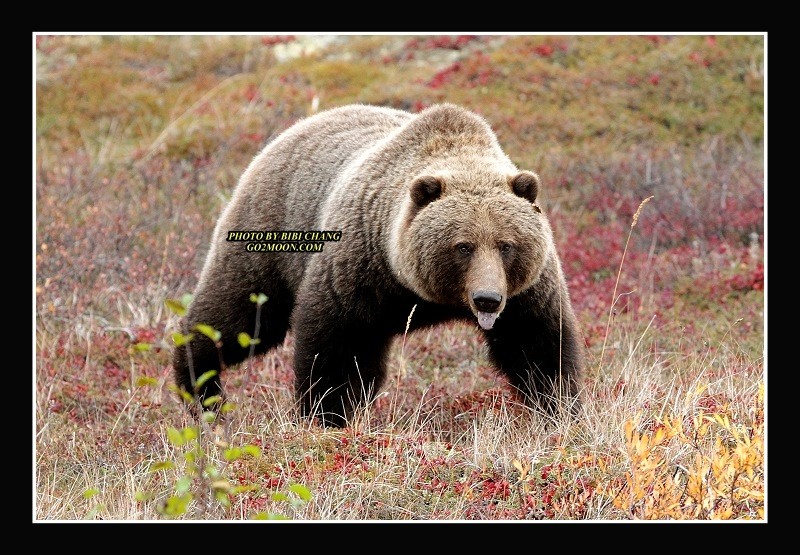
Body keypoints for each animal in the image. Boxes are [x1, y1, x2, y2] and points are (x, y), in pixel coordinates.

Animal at [173, 103, 583, 427]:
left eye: (506, 245)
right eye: (463, 246)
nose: (487, 299)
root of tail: (287, 133)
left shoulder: (527, 290)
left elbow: (539, 348)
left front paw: (562, 411)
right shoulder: (358, 269)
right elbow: (335, 348)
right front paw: (325, 416)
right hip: (271, 234)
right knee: (241, 315)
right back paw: (198, 383)